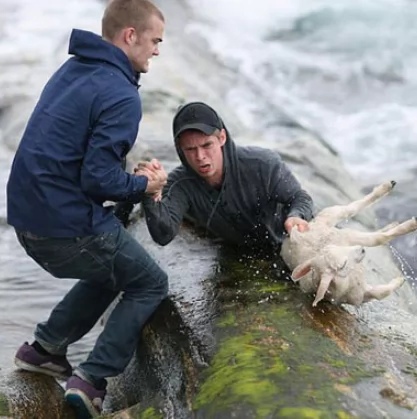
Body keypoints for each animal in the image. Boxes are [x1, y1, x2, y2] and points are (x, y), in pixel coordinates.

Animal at [280, 181, 416, 308]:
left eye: (332, 247)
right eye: (342, 265)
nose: (362, 250)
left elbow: (376, 239)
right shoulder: (362, 294)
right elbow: (381, 293)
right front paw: (401, 280)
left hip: (332, 220)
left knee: (351, 209)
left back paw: (387, 188)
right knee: (366, 226)